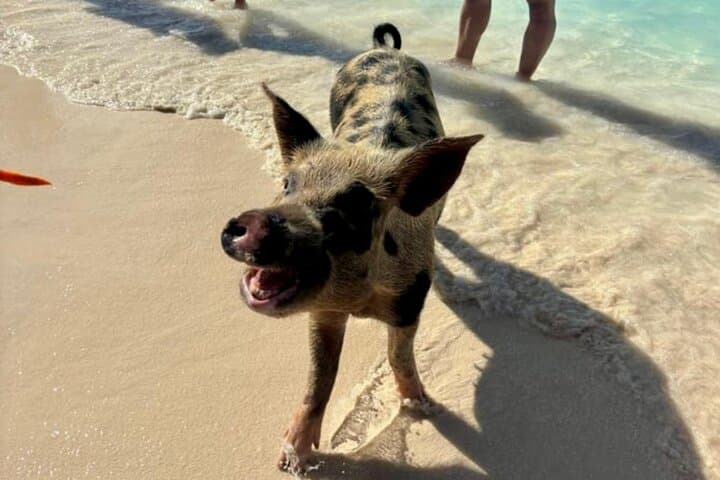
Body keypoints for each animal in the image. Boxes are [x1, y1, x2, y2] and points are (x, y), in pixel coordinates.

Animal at [221, 23, 483, 473]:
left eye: (355, 205)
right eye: (288, 184)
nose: (254, 222)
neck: (357, 299)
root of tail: (385, 49)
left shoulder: (411, 297)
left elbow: (399, 355)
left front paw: (423, 406)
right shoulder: (323, 312)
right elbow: (319, 376)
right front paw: (291, 459)